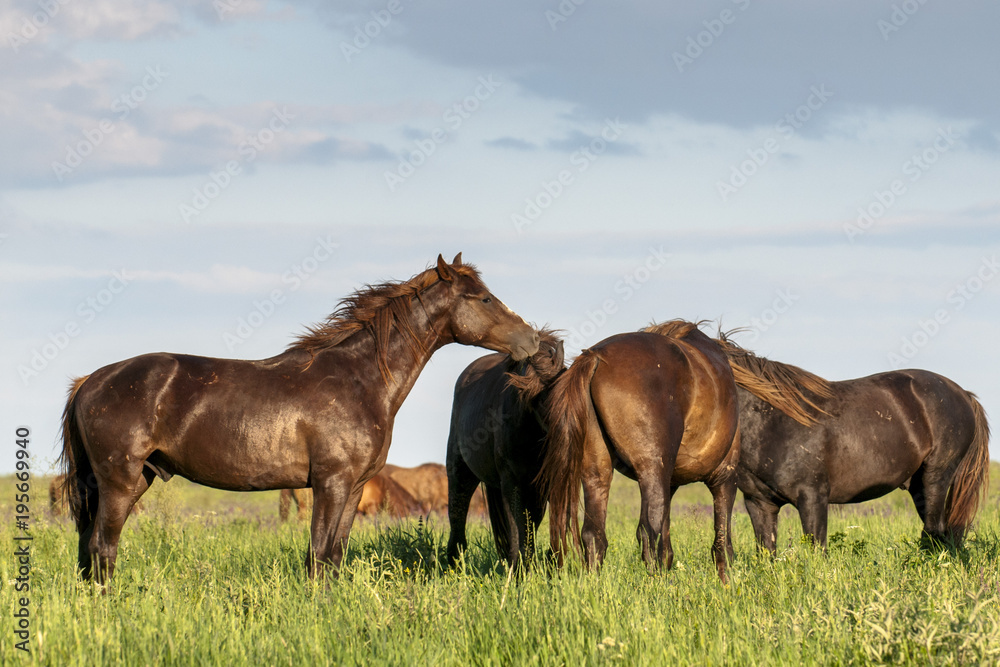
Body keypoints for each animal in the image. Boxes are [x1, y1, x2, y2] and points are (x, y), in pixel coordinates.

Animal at [58, 253, 540, 580]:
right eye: (483, 298)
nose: (532, 340)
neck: (359, 378)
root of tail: (90, 381)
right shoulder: (330, 483)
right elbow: (318, 554)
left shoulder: (354, 488)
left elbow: (334, 556)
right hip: (120, 482)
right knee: (102, 547)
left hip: (132, 479)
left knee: (87, 548)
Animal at [450, 328, 568, 568]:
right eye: (525, 395)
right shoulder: (513, 484)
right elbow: (517, 530)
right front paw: (519, 569)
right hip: (461, 470)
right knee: (457, 514)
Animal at [540, 320, 744, 580]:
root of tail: (595, 356)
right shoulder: (725, 478)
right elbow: (722, 542)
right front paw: (726, 582)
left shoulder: (670, 483)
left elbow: (667, 544)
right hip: (652, 471)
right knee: (647, 531)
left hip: (598, 471)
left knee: (594, 535)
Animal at [716, 334, 988, 552]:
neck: (774, 422)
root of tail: (963, 394)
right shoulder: (760, 504)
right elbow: (766, 553)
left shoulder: (813, 498)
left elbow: (817, 551)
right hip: (918, 485)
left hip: (935, 478)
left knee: (934, 532)